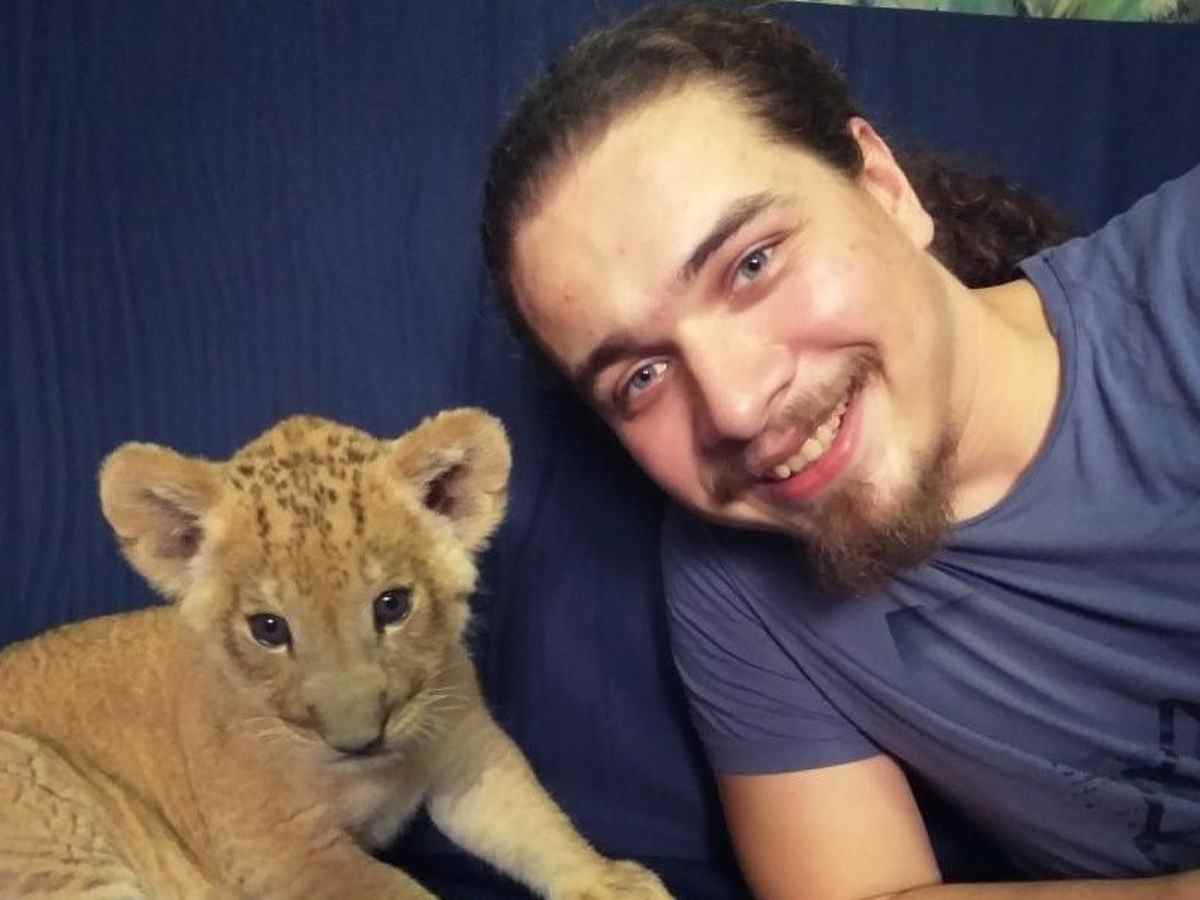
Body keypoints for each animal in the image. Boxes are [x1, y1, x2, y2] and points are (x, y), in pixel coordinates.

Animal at [0, 408, 673, 900]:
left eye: (392, 605)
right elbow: (399, 893)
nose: (359, 740)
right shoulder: (280, 850)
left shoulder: (468, 752)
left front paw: (610, 883)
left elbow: (534, 820)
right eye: (269, 628)